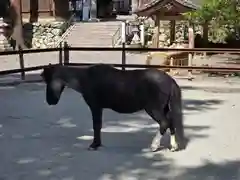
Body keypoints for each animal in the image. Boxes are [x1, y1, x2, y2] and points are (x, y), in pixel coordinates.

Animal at [40, 64, 186, 151]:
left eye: (49, 81)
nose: (50, 101)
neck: (86, 78)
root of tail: (169, 80)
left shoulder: (95, 107)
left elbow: (96, 125)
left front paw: (94, 145)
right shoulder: (98, 108)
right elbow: (98, 126)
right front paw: (97, 144)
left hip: (154, 109)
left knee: (164, 123)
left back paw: (154, 145)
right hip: (164, 109)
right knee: (171, 123)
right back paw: (173, 146)